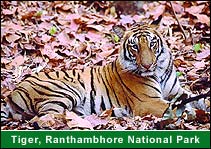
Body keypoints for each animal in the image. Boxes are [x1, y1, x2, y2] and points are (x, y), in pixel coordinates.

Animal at [0, 23, 208, 123]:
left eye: (152, 43)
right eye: (134, 47)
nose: (148, 66)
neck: (160, 71)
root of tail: (13, 91)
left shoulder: (178, 92)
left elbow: (199, 100)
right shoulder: (148, 102)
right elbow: (175, 107)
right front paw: (191, 114)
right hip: (66, 91)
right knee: (46, 118)